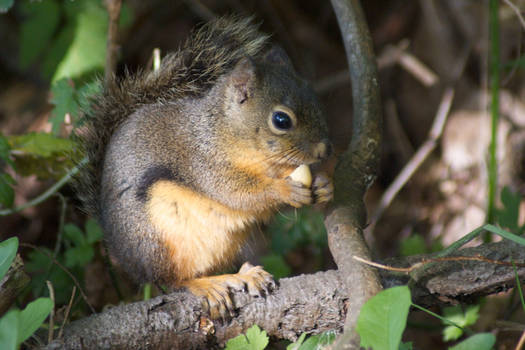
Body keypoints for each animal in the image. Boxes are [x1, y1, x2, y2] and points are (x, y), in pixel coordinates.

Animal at [75, 15, 332, 318]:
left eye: (314, 97)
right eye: (281, 120)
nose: (325, 149)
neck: (224, 130)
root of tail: (122, 253)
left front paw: (325, 184)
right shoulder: (203, 162)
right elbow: (239, 194)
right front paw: (285, 191)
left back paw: (242, 275)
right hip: (159, 239)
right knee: (173, 280)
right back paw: (207, 286)